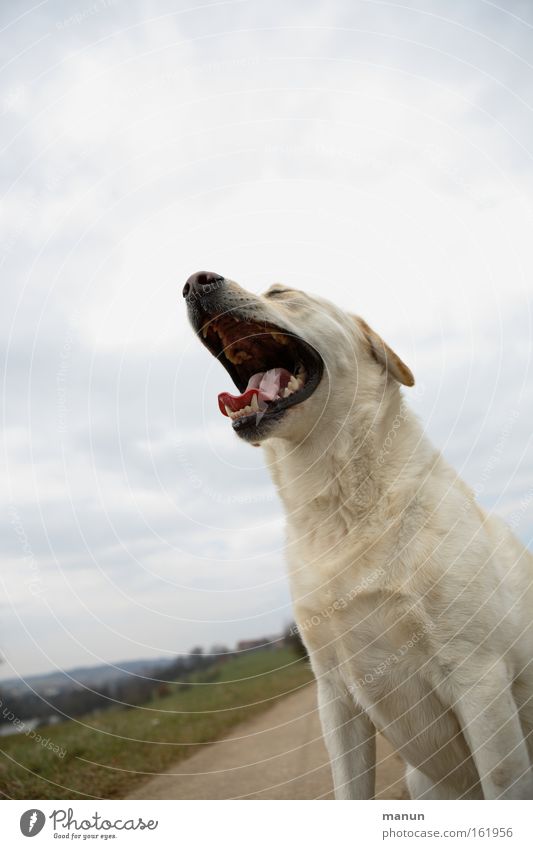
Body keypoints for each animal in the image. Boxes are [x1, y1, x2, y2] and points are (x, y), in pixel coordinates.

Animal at [183, 270, 532, 796]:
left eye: (281, 293)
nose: (193, 282)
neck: (337, 506)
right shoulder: (335, 695)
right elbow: (348, 788)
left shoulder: (480, 676)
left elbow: (502, 781)